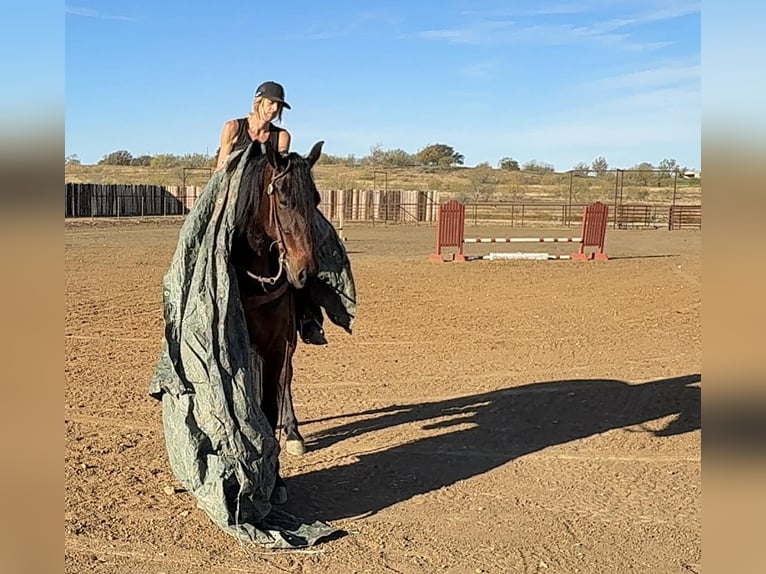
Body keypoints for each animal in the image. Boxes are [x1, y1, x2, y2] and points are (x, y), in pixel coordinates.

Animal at [230, 139, 324, 504]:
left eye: (317, 200)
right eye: (283, 199)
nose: (305, 272)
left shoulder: (276, 346)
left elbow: (271, 405)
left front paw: (277, 481)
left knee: (286, 382)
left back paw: (293, 432)